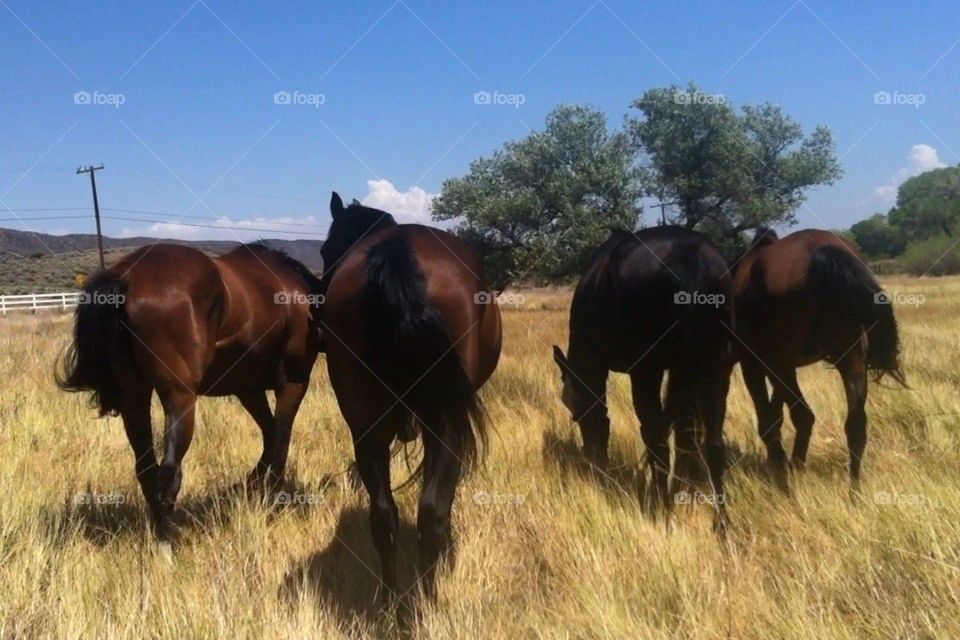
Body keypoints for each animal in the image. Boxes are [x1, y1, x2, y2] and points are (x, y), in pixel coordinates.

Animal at [58, 242, 323, 540]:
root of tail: (125, 277)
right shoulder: (293, 383)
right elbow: (280, 442)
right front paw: (272, 500)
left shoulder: (248, 389)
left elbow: (271, 434)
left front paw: (246, 486)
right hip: (180, 399)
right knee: (169, 472)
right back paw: (168, 540)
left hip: (135, 397)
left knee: (147, 469)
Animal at [318, 192, 501, 599]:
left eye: (324, 249)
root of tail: (397, 252)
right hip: (443, 424)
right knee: (432, 511)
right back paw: (428, 596)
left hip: (366, 425)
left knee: (384, 516)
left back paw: (390, 599)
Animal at [552, 227, 735, 528]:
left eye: (575, 414)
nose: (590, 457)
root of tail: (690, 255)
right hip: (715, 366)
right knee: (710, 442)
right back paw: (719, 521)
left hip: (647, 371)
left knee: (655, 434)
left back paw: (661, 507)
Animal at [732, 228, 905, 493]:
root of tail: (820, 251)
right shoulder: (781, 366)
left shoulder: (755, 365)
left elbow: (769, 420)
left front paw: (778, 466)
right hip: (850, 359)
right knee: (855, 424)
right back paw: (853, 492)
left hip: (779, 363)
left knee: (802, 416)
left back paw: (788, 481)